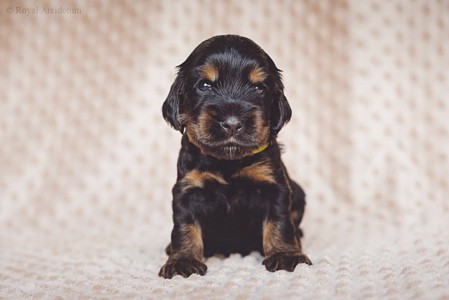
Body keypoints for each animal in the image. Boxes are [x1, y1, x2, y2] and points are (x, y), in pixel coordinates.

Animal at [159, 35, 310, 278]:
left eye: (259, 87)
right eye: (204, 85)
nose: (232, 124)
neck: (227, 162)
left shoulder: (274, 186)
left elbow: (280, 221)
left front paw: (285, 254)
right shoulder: (187, 188)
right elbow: (185, 226)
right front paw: (182, 260)